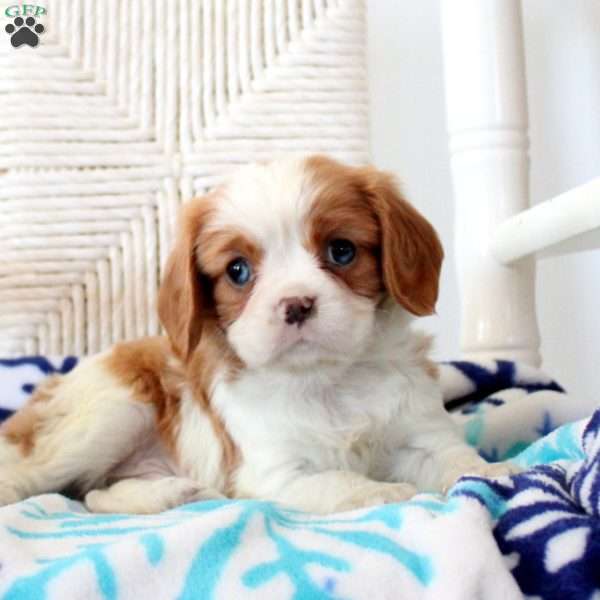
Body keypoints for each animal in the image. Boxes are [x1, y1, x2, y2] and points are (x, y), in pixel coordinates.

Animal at [0, 157, 516, 512]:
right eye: (238, 271)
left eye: (342, 251)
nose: (297, 304)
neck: (327, 381)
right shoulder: (278, 474)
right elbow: (339, 482)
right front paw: (387, 492)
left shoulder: (421, 434)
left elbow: (457, 462)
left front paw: (496, 472)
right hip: (112, 410)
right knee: (44, 481)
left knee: (93, 494)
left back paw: (173, 492)